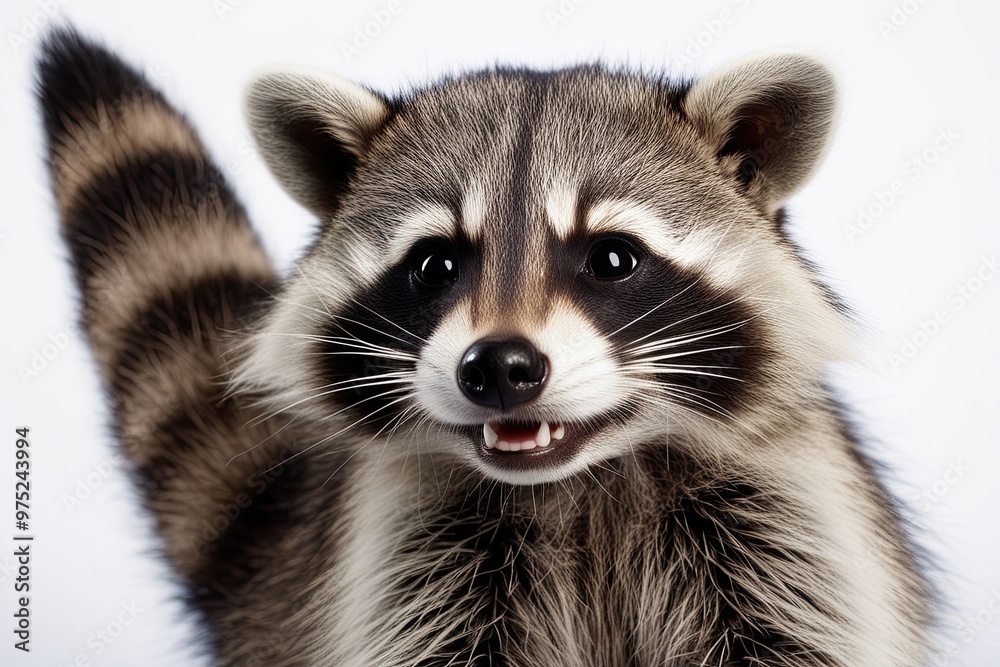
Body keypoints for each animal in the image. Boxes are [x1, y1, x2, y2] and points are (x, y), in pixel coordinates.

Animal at [38, 28, 931, 666]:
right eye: (435, 264)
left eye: (613, 259)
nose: (499, 367)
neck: (581, 481)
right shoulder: (406, 562)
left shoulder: (787, 525)